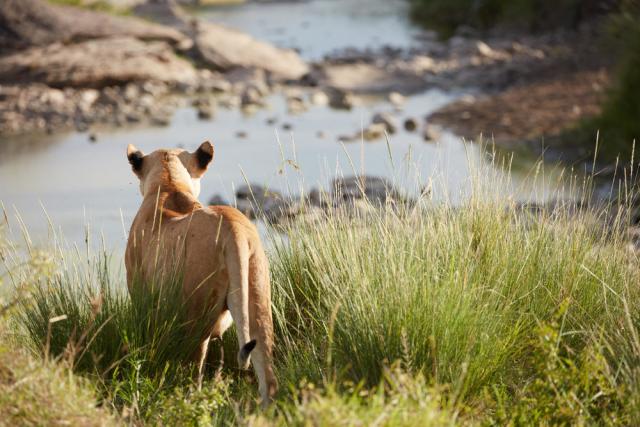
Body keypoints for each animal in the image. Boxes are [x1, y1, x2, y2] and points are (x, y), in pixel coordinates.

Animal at [124, 141, 277, 407]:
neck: (169, 185)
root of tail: (233, 227)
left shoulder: (140, 293)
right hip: (257, 298)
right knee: (267, 374)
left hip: (196, 312)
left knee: (195, 369)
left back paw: (188, 400)